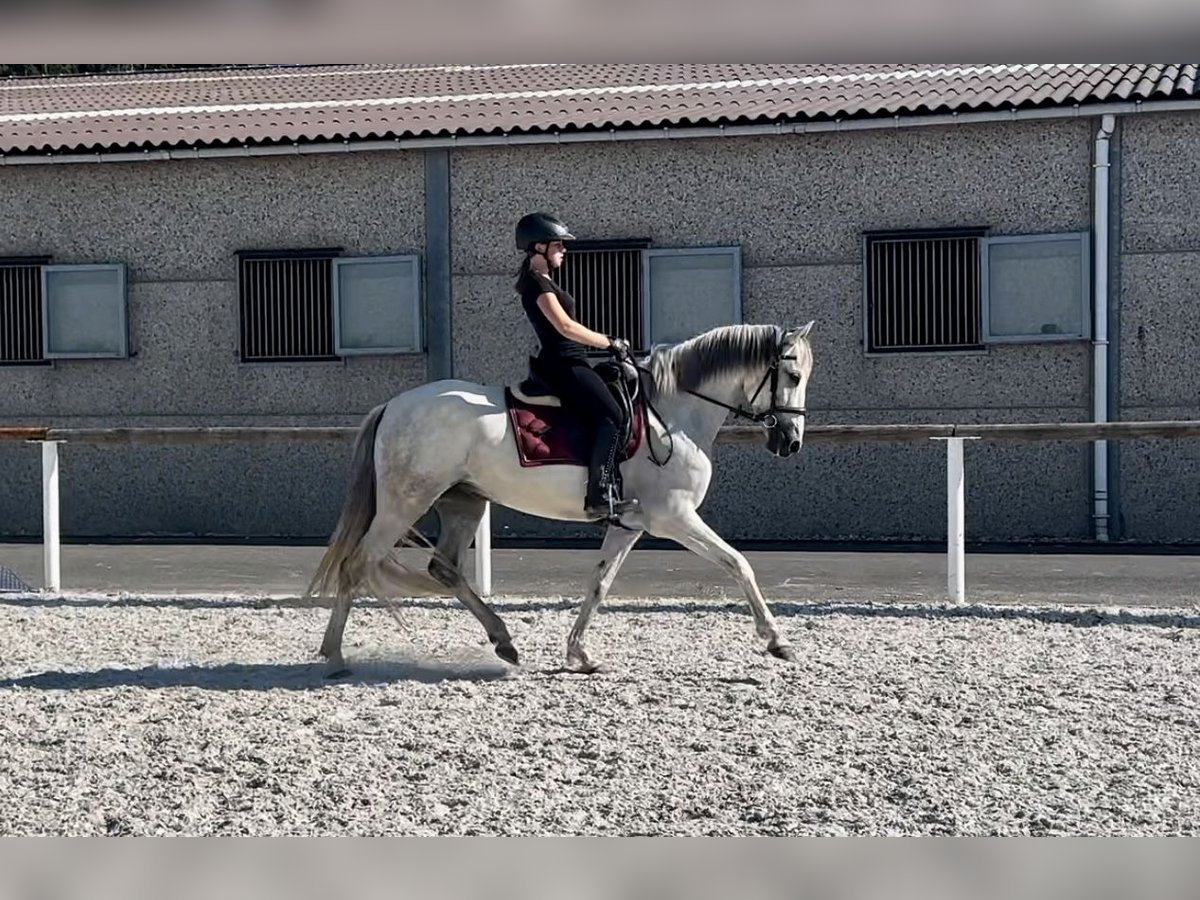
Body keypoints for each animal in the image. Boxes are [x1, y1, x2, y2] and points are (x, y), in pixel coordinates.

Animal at [307, 321, 816, 672]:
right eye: (792, 374)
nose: (791, 441)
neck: (673, 414)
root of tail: (394, 405)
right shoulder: (675, 517)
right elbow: (739, 563)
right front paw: (777, 640)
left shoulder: (630, 525)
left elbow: (599, 584)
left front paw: (578, 654)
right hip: (404, 502)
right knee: (357, 564)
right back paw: (334, 657)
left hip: (464, 501)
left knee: (444, 568)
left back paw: (504, 640)